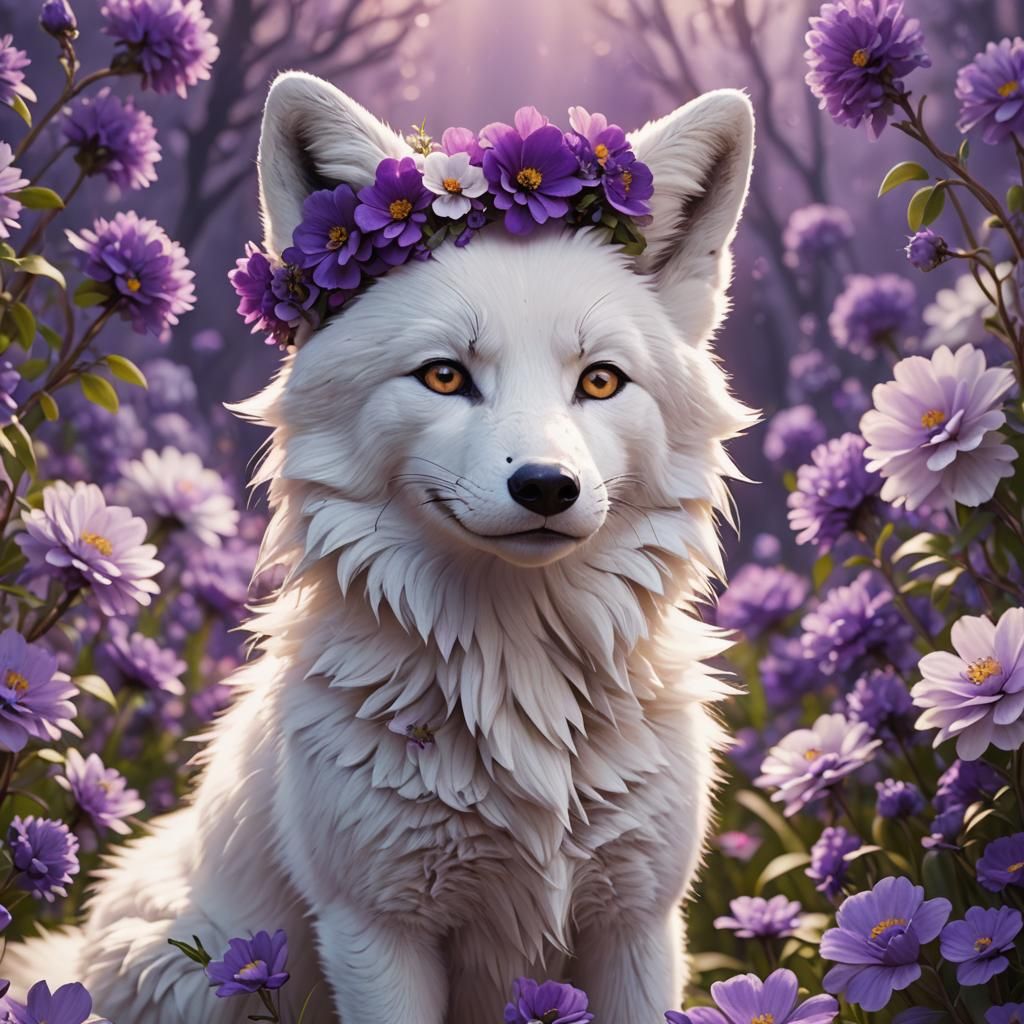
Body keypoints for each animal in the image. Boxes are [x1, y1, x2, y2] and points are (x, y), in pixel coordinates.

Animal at [7, 72, 756, 1023]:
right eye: (444, 375)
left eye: (599, 381)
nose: (547, 487)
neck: (518, 689)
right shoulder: (375, 933)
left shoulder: (636, 926)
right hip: (195, 975)